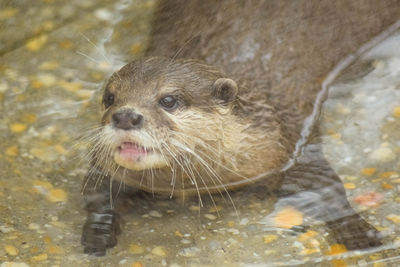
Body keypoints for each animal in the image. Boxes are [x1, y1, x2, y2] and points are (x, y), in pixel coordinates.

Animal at [80, 0, 400, 256]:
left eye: (168, 100)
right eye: (110, 98)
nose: (125, 117)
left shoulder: (297, 144)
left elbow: (329, 192)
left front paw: (361, 235)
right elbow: (99, 192)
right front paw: (99, 231)